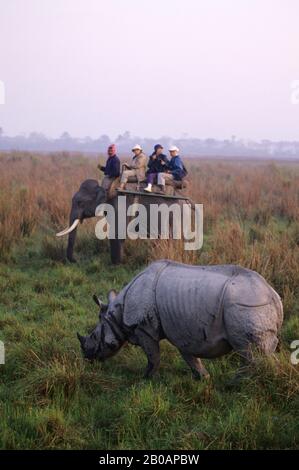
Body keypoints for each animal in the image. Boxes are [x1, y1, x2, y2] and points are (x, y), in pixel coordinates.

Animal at [56, 178, 190, 264]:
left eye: (80, 203)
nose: (75, 260)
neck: (106, 187)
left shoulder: (120, 207)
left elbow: (117, 233)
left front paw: (117, 263)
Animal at [77, 258, 284, 380]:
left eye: (93, 336)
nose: (87, 358)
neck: (117, 314)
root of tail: (274, 296)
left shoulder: (144, 329)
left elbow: (153, 356)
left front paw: (145, 379)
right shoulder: (184, 332)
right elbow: (190, 357)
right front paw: (203, 379)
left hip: (246, 305)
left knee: (249, 352)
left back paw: (241, 384)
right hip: (253, 304)